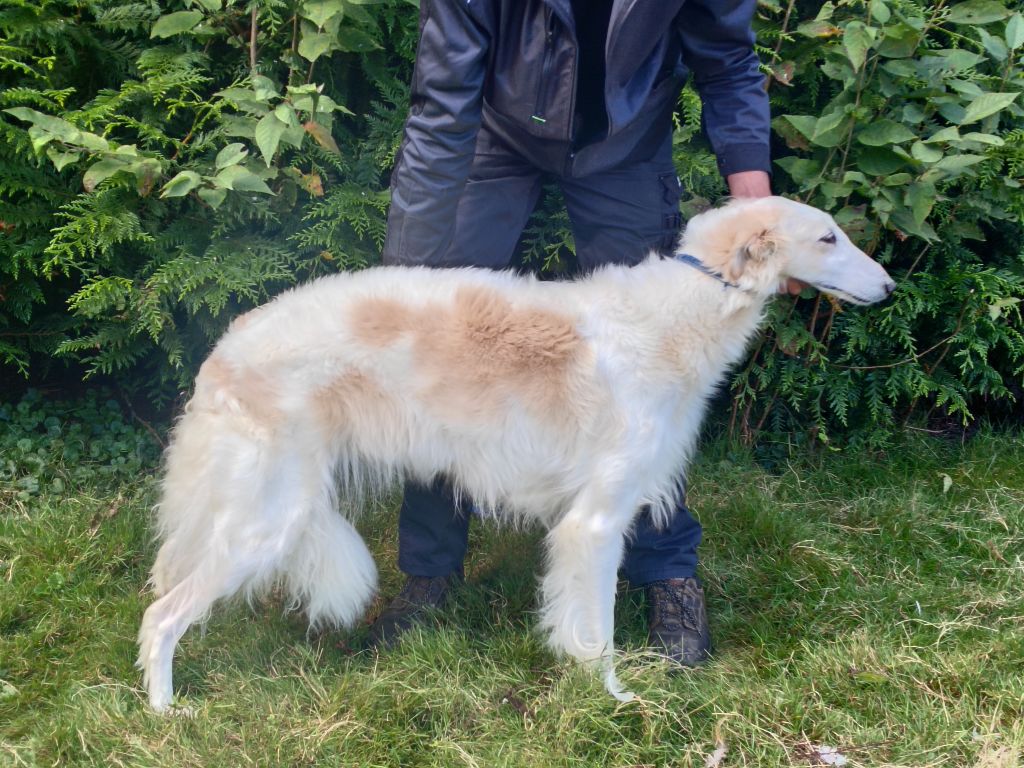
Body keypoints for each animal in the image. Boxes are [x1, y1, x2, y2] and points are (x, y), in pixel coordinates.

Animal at [138, 195, 897, 712]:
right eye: (828, 237)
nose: (889, 287)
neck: (679, 311)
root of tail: (225, 348)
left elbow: (571, 620)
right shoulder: (596, 521)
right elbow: (597, 632)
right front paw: (616, 700)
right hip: (262, 519)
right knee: (161, 615)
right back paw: (166, 710)